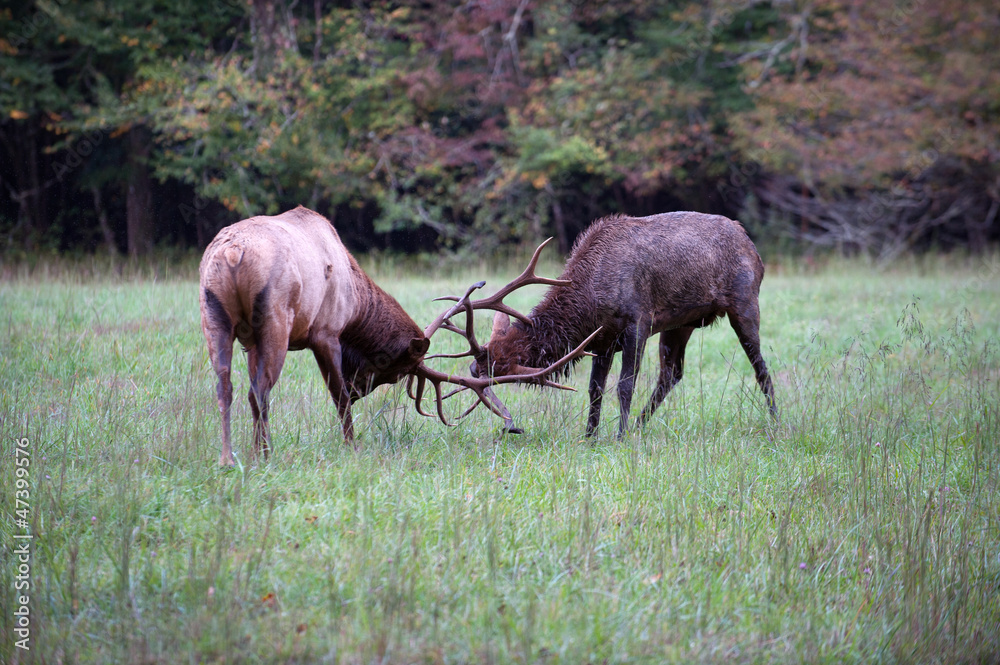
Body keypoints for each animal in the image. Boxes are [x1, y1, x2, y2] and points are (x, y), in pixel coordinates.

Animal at [201, 205, 592, 464]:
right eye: (394, 365)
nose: (360, 389)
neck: (356, 303)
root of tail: (233, 254)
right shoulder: (326, 331)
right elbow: (338, 398)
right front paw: (352, 446)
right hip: (275, 320)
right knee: (258, 392)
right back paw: (263, 455)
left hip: (214, 318)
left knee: (227, 388)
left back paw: (231, 457)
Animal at [450, 213, 776, 438]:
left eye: (502, 363)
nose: (474, 369)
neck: (591, 301)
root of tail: (754, 248)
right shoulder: (603, 340)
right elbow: (595, 389)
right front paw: (590, 436)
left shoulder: (638, 322)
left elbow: (625, 385)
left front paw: (619, 436)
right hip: (680, 323)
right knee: (672, 373)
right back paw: (640, 425)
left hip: (744, 302)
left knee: (760, 367)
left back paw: (776, 421)